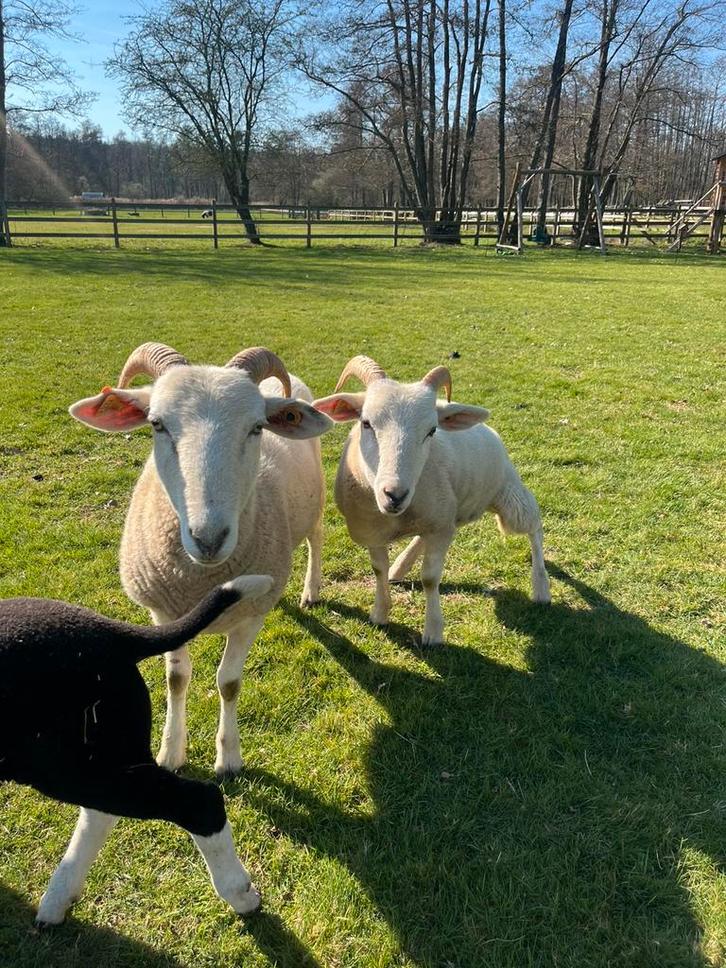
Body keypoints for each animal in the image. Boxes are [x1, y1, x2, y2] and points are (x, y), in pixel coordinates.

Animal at [0, 575, 273, 925]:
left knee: (199, 802)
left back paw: (239, 894)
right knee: (102, 813)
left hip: (66, 766)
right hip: (102, 756)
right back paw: (57, 900)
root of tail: (114, 633)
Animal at [70, 343, 333, 778]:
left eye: (257, 427)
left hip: (313, 506)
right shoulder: (163, 612)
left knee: (315, 539)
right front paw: (171, 752)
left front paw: (229, 757)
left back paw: (310, 590)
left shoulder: (250, 617)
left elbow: (229, 683)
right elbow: (177, 679)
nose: (208, 538)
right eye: (157, 424)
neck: (204, 581)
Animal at [314, 356, 551, 645]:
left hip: (508, 496)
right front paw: (380, 613)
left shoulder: (439, 526)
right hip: (455, 507)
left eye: (432, 430)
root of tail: (488, 429)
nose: (395, 495)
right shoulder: (376, 530)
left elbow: (429, 578)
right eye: (366, 423)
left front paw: (433, 632)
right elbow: (378, 569)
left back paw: (541, 586)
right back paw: (400, 567)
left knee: (535, 525)